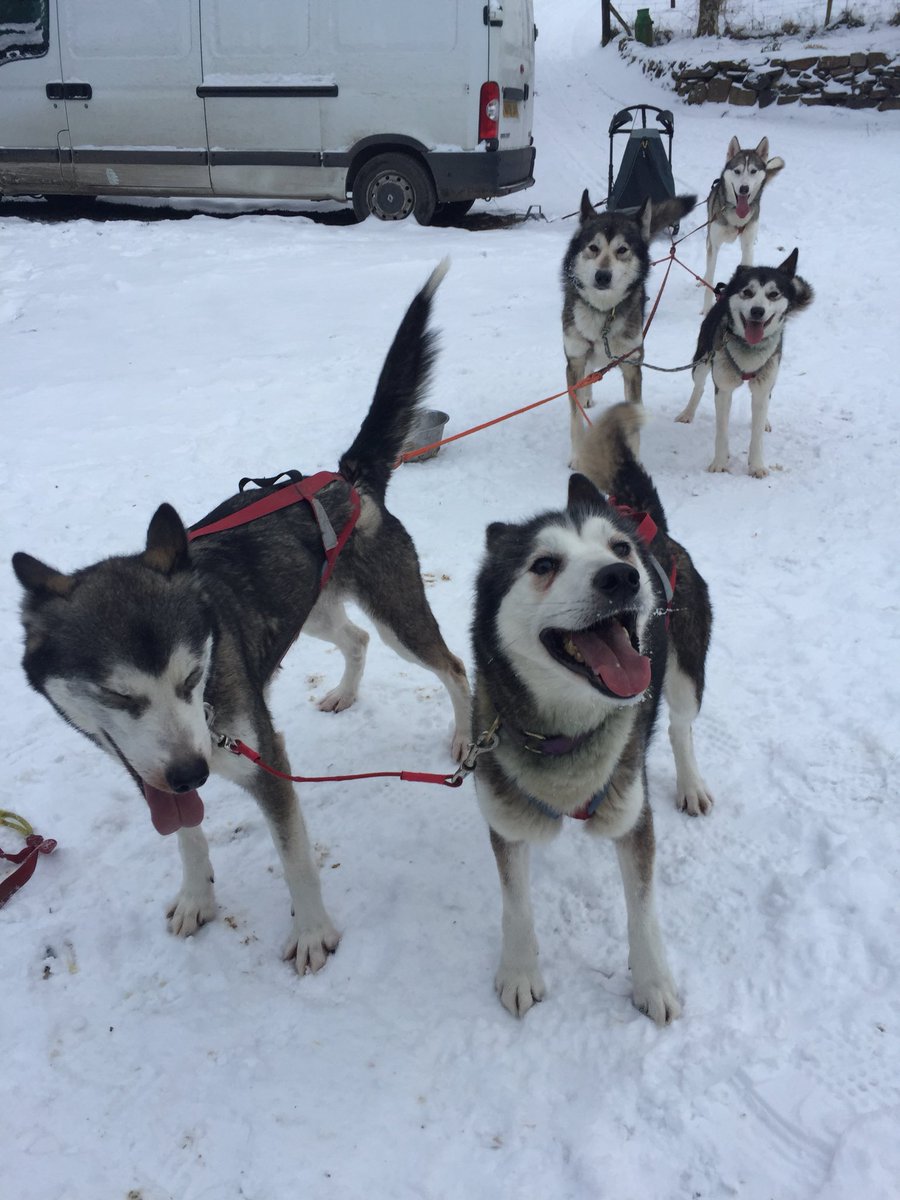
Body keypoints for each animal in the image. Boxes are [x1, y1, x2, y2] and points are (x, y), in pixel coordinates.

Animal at [12, 262, 472, 974]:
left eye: (191, 676)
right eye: (117, 696)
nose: (193, 771)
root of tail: (347, 480)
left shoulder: (266, 761)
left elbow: (294, 857)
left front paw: (312, 932)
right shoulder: (152, 771)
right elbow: (188, 835)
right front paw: (198, 896)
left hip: (400, 618)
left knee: (452, 666)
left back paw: (465, 734)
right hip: (309, 614)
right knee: (354, 638)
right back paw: (343, 692)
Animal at [472, 403, 710, 1022]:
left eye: (616, 550)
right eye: (544, 563)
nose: (621, 575)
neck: (567, 733)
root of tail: (647, 523)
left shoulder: (632, 813)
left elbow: (643, 909)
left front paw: (652, 983)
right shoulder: (505, 817)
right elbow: (515, 904)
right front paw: (520, 972)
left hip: (685, 678)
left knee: (681, 727)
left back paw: (692, 784)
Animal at [564, 189, 696, 465]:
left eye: (622, 250)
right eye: (593, 248)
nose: (602, 276)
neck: (604, 313)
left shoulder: (632, 366)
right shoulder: (574, 360)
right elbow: (575, 417)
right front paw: (578, 456)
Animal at [681, 248, 816, 477]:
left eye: (773, 294)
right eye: (747, 292)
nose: (757, 311)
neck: (749, 350)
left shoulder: (762, 388)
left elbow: (757, 433)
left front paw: (757, 465)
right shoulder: (723, 388)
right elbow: (722, 431)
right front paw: (720, 462)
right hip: (702, 362)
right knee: (699, 386)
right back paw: (688, 412)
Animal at [700, 136, 787, 314]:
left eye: (753, 171)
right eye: (737, 171)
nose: (744, 188)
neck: (736, 216)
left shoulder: (747, 246)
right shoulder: (714, 244)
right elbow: (710, 275)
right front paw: (706, 309)